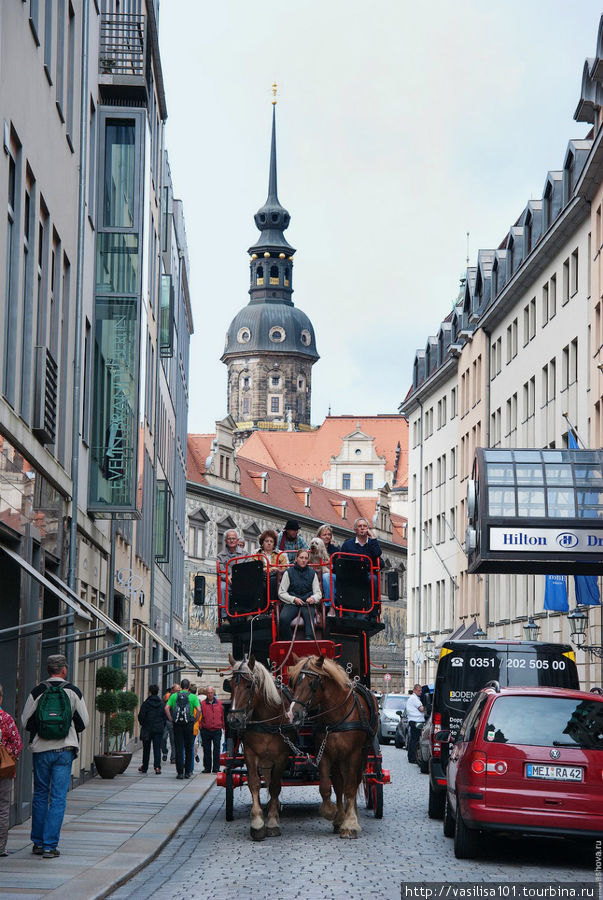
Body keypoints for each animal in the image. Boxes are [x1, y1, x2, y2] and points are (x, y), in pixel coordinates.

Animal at [228, 652, 292, 844]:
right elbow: (254, 783)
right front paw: (257, 823)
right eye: (229, 685)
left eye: (249, 685)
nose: (234, 720)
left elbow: (276, 786)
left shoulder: (281, 756)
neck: (267, 720)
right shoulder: (251, 753)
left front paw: (272, 822)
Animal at [288, 652, 378, 836]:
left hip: (363, 753)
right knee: (338, 784)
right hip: (338, 759)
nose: (293, 714)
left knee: (354, 781)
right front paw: (333, 814)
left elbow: (350, 788)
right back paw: (341, 818)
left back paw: (352, 816)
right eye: (294, 681)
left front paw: (350, 824)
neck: (337, 716)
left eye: (312, 683)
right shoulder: (325, 754)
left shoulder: (354, 755)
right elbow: (326, 787)